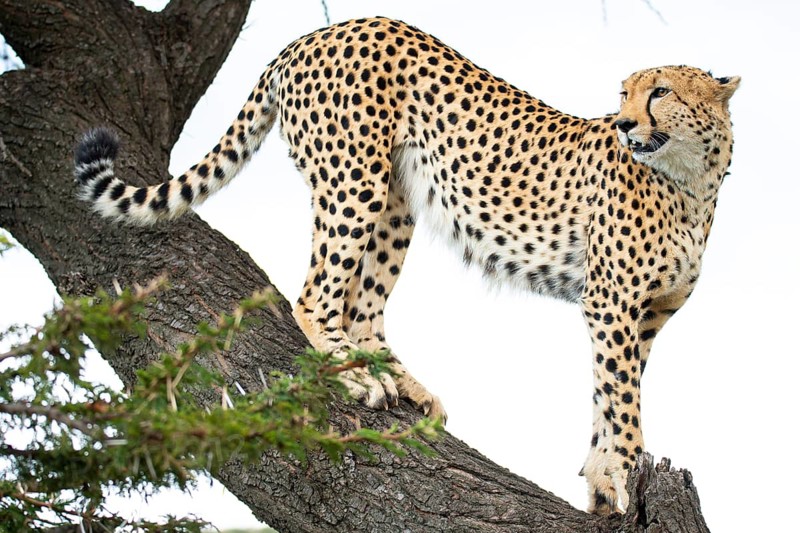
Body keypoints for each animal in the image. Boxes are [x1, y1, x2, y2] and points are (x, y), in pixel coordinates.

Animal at [73, 17, 739, 514]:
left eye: (660, 92)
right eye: (624, 93)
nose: (625, 123)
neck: (691, 181)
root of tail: (313, 34)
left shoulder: (645, 317)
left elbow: (609, 394)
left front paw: (601, 476)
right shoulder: (611, 303)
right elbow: (623, 398)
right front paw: (620, 474)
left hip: (396, 201)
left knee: (361, 308)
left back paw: (402, 384)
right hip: (353, 181)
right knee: (316, 295)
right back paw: (351, 374)